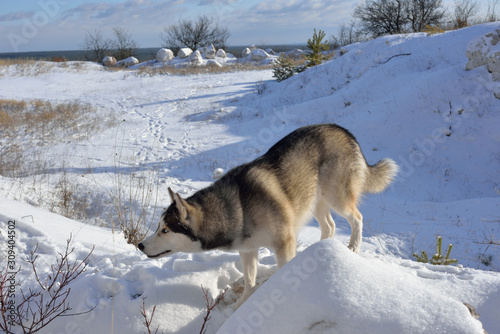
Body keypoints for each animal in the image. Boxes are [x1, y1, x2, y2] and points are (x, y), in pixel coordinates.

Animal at [138, 123, 398, 308]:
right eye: (158, 226)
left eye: (165, 230)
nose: (140, 245)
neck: (237, 208)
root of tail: (343, 130)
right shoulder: (248, 250)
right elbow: (250, 282)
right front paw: (244, 306)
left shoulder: (284, 242)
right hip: (313, 201)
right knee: (330, 227)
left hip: (335, 196)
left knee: (357, 218)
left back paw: (353, 246)